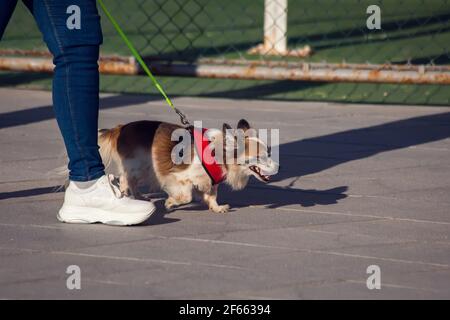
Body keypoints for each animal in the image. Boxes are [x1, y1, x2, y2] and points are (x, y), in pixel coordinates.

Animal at [98, 118, 278, 212]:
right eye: (261, 157)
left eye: (269, 153)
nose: (280, 167)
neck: (218, 153)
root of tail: (121, 128)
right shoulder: (179, 178)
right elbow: (186, 197)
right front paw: (171, 202)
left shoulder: (210, 182)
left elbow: (211, 196)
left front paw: (217, 208)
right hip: (138, 165)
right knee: (125, 178)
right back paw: (127, 195)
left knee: (130, 180)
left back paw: (138, 196)